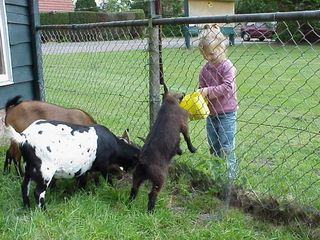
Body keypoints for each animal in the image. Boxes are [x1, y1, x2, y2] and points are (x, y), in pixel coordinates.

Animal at [4, 119, 140, 209]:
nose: (123, 175)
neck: (114, 145)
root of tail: (24, 138)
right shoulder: (103, 164)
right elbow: (107, 179)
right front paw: (111, 188)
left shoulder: (84, 168)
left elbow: (83, 181)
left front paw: (83, 194)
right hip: (45, 170)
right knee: (38, 192)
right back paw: (44, 212)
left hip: (29, 167)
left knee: (24, 187)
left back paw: (26, 208)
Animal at [129, 84, 196, 212]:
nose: (183, 93)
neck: (169, 103)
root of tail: (143, 161)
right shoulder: (184, 125)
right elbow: (187, 138)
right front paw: (192, 149)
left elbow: (178, 144)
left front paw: (180, 151)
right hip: (159, 179)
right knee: (152, 194)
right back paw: (151, 211)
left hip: (137, 175)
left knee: (134, 188)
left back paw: (129, 203)